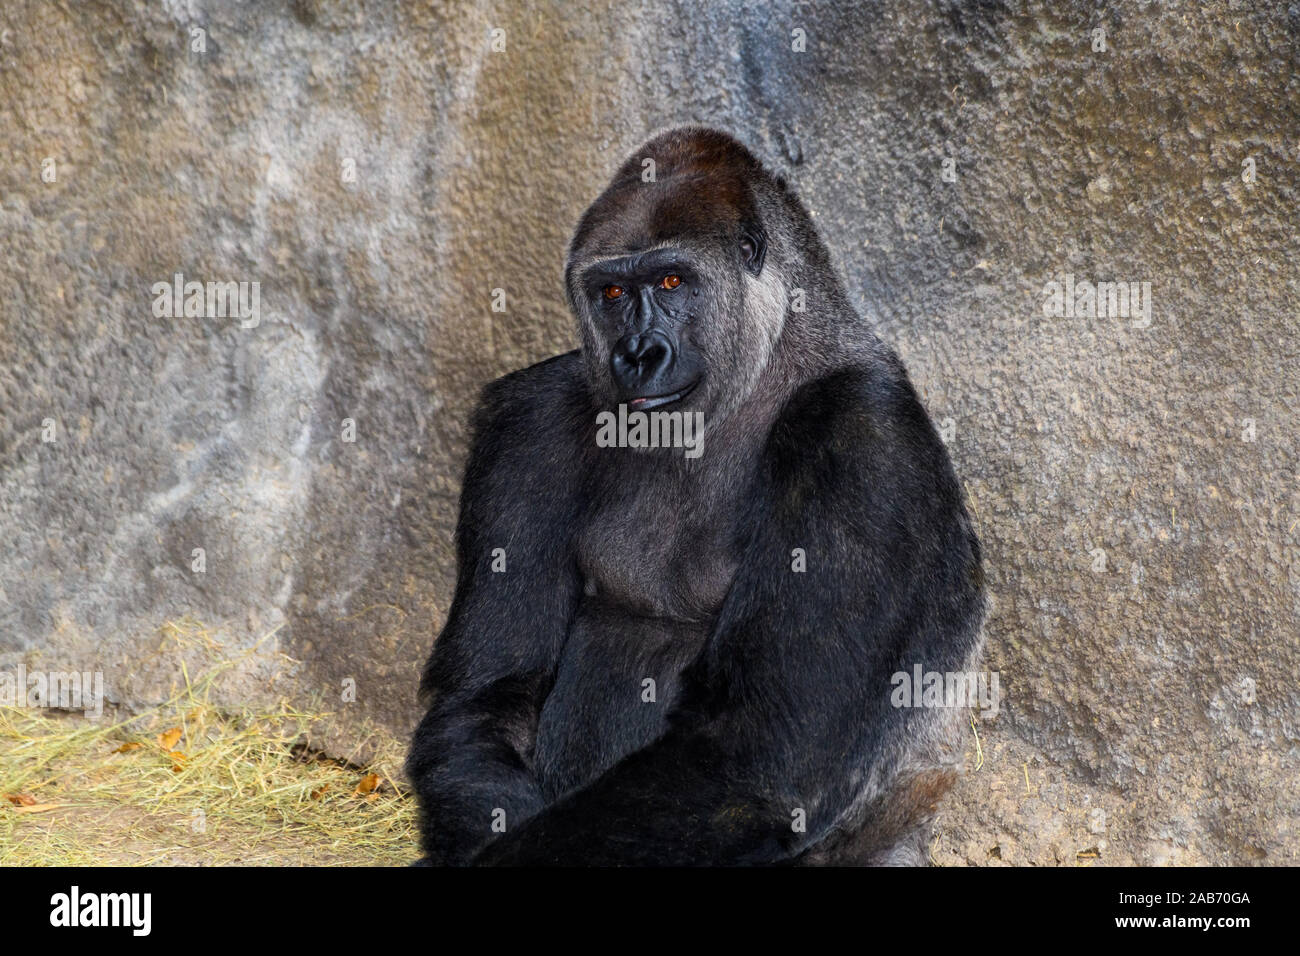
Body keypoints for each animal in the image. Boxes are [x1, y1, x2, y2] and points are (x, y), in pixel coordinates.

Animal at [406, 126, 985, 866]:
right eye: (612, 291)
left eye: (672, 281)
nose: (637, 355)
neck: (765, 364)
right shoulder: (533, 420)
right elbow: (486, 701)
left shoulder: (865, 438)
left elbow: (754, 761)